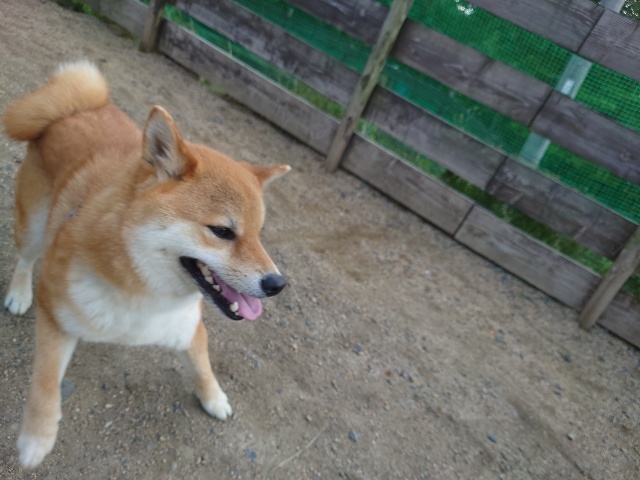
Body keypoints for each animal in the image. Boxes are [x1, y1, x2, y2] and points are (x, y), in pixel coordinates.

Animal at [3, 61, 290, 469]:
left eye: (258, 234)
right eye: (222, 231)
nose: (277, 284)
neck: (144, 293)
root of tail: (77, 107)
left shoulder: (188, 329)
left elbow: (203, 366)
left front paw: (214, 398)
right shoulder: (55, 315)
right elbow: (44, 385)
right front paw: (35, 440)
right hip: (34, 226)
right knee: (26, 258)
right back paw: (18, 293)